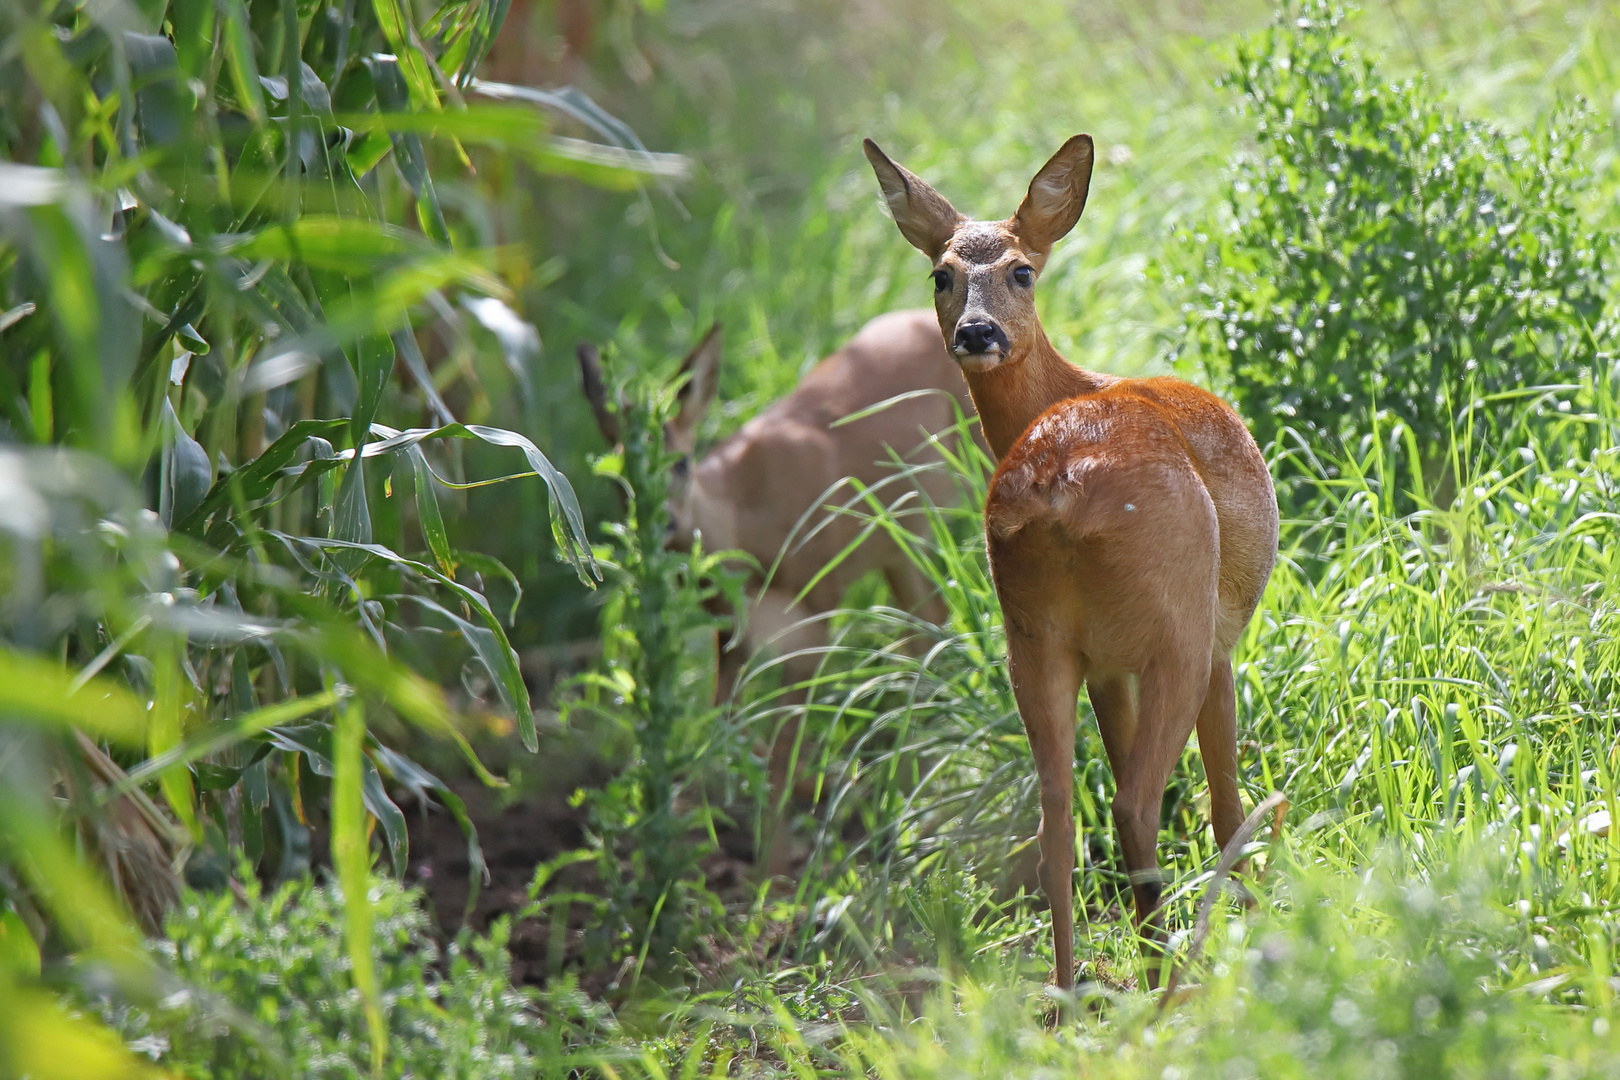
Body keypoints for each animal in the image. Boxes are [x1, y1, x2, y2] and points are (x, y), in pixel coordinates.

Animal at [868, 132, 1270, 990]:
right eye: (941, 274)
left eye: (1021, 270)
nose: (976, 333)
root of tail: (1059, 487)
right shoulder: (1218, 639)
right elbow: (1224, 793)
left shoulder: (1105, 662)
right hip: (1175, 625)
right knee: (1137, 804)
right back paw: (1170, 977)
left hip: (1033, 637)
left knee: (1057, 814)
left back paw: (1076, 984)